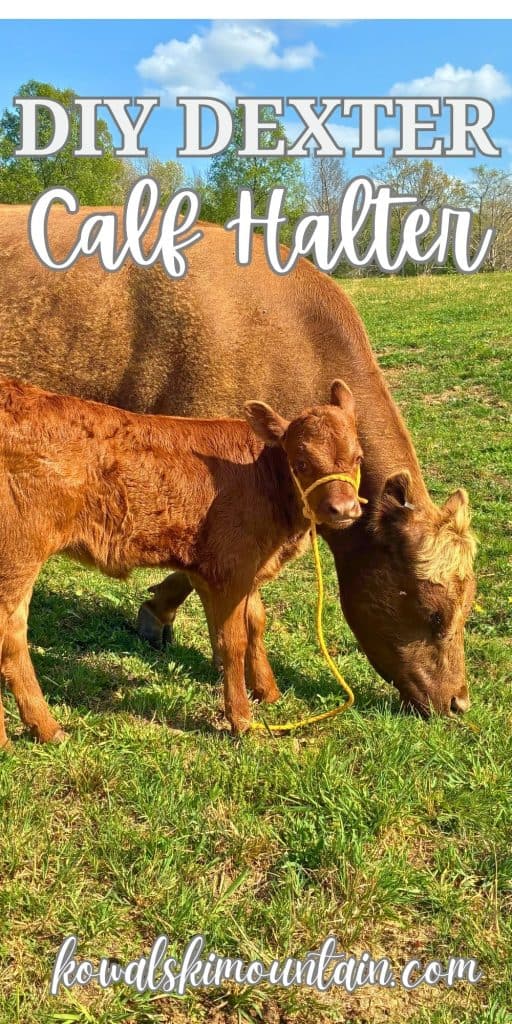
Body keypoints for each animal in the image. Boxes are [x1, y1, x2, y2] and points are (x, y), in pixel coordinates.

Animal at [0, 374, 364, 746]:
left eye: (358, 458)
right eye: (301, 463)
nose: (344, 509)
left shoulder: (242, 569)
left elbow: (256, 624)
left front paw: (268, 691)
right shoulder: (232, 569)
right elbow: (233, 641)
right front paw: (241, 719)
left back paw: (44, 730)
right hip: (18, 557)